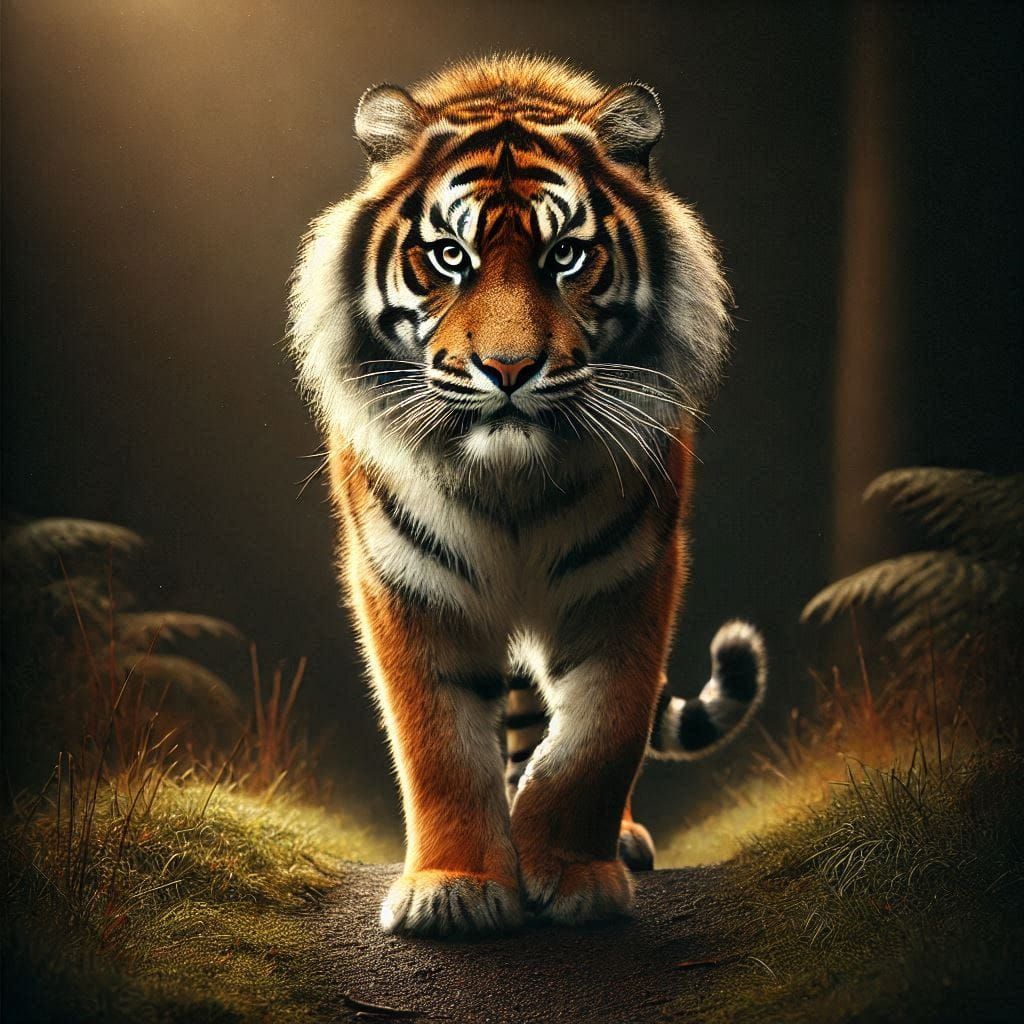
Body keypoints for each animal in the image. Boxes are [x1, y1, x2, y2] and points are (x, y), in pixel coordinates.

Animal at [288, 54, 766, 938]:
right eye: (449, 257)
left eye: (567, 257)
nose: (509, 369)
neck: (509, 485)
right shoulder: (406, 579)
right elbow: (439, 744)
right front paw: (455, 888)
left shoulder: (631, 575)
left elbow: (598, 738)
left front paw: (577, 876)